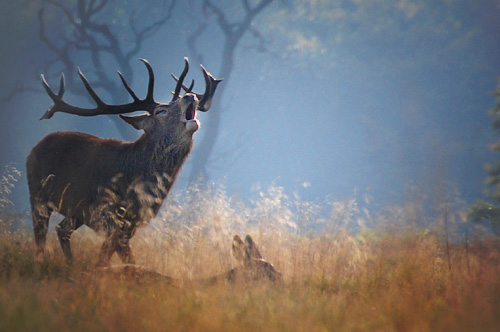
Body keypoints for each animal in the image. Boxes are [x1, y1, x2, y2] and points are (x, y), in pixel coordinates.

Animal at [26, 58, 221, 266]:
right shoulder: (109, 217)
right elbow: (110, 260)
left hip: (76, 210)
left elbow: (122, 259)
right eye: (160, 111)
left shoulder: (129, 224)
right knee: (41, 236)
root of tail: (34, 148)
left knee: (62, 230)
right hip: (38, 193)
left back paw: (71, 263)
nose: (190, 96)